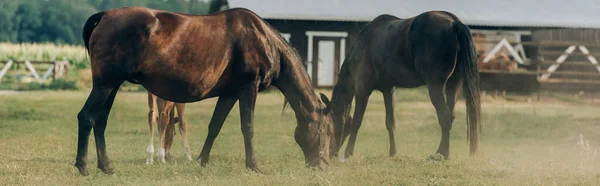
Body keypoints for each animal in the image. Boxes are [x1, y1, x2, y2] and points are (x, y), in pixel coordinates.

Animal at [75, 6, 336, 176]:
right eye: (328, 132)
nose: (323, 166)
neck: (263, 39)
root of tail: (105, 15)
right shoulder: (247, 88)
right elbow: (248, 127)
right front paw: (253, 165)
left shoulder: (229, 93)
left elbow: (215, 126)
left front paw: (201, 160)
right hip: (105, 85)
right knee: (86, 117)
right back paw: (83, 166)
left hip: (111, 86)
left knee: (100, 121)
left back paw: (106, 166)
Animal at [324, 11, 482, 160]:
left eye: (329, 125)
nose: (331, 153)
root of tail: (454, 22)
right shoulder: (388, 90)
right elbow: (390, 122)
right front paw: (393, 153)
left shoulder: (363, 90)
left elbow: (357, 121)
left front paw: (348, 153)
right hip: (453, 84)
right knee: (451, 115)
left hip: (435, 86)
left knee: (444, 117)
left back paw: (441, 153)